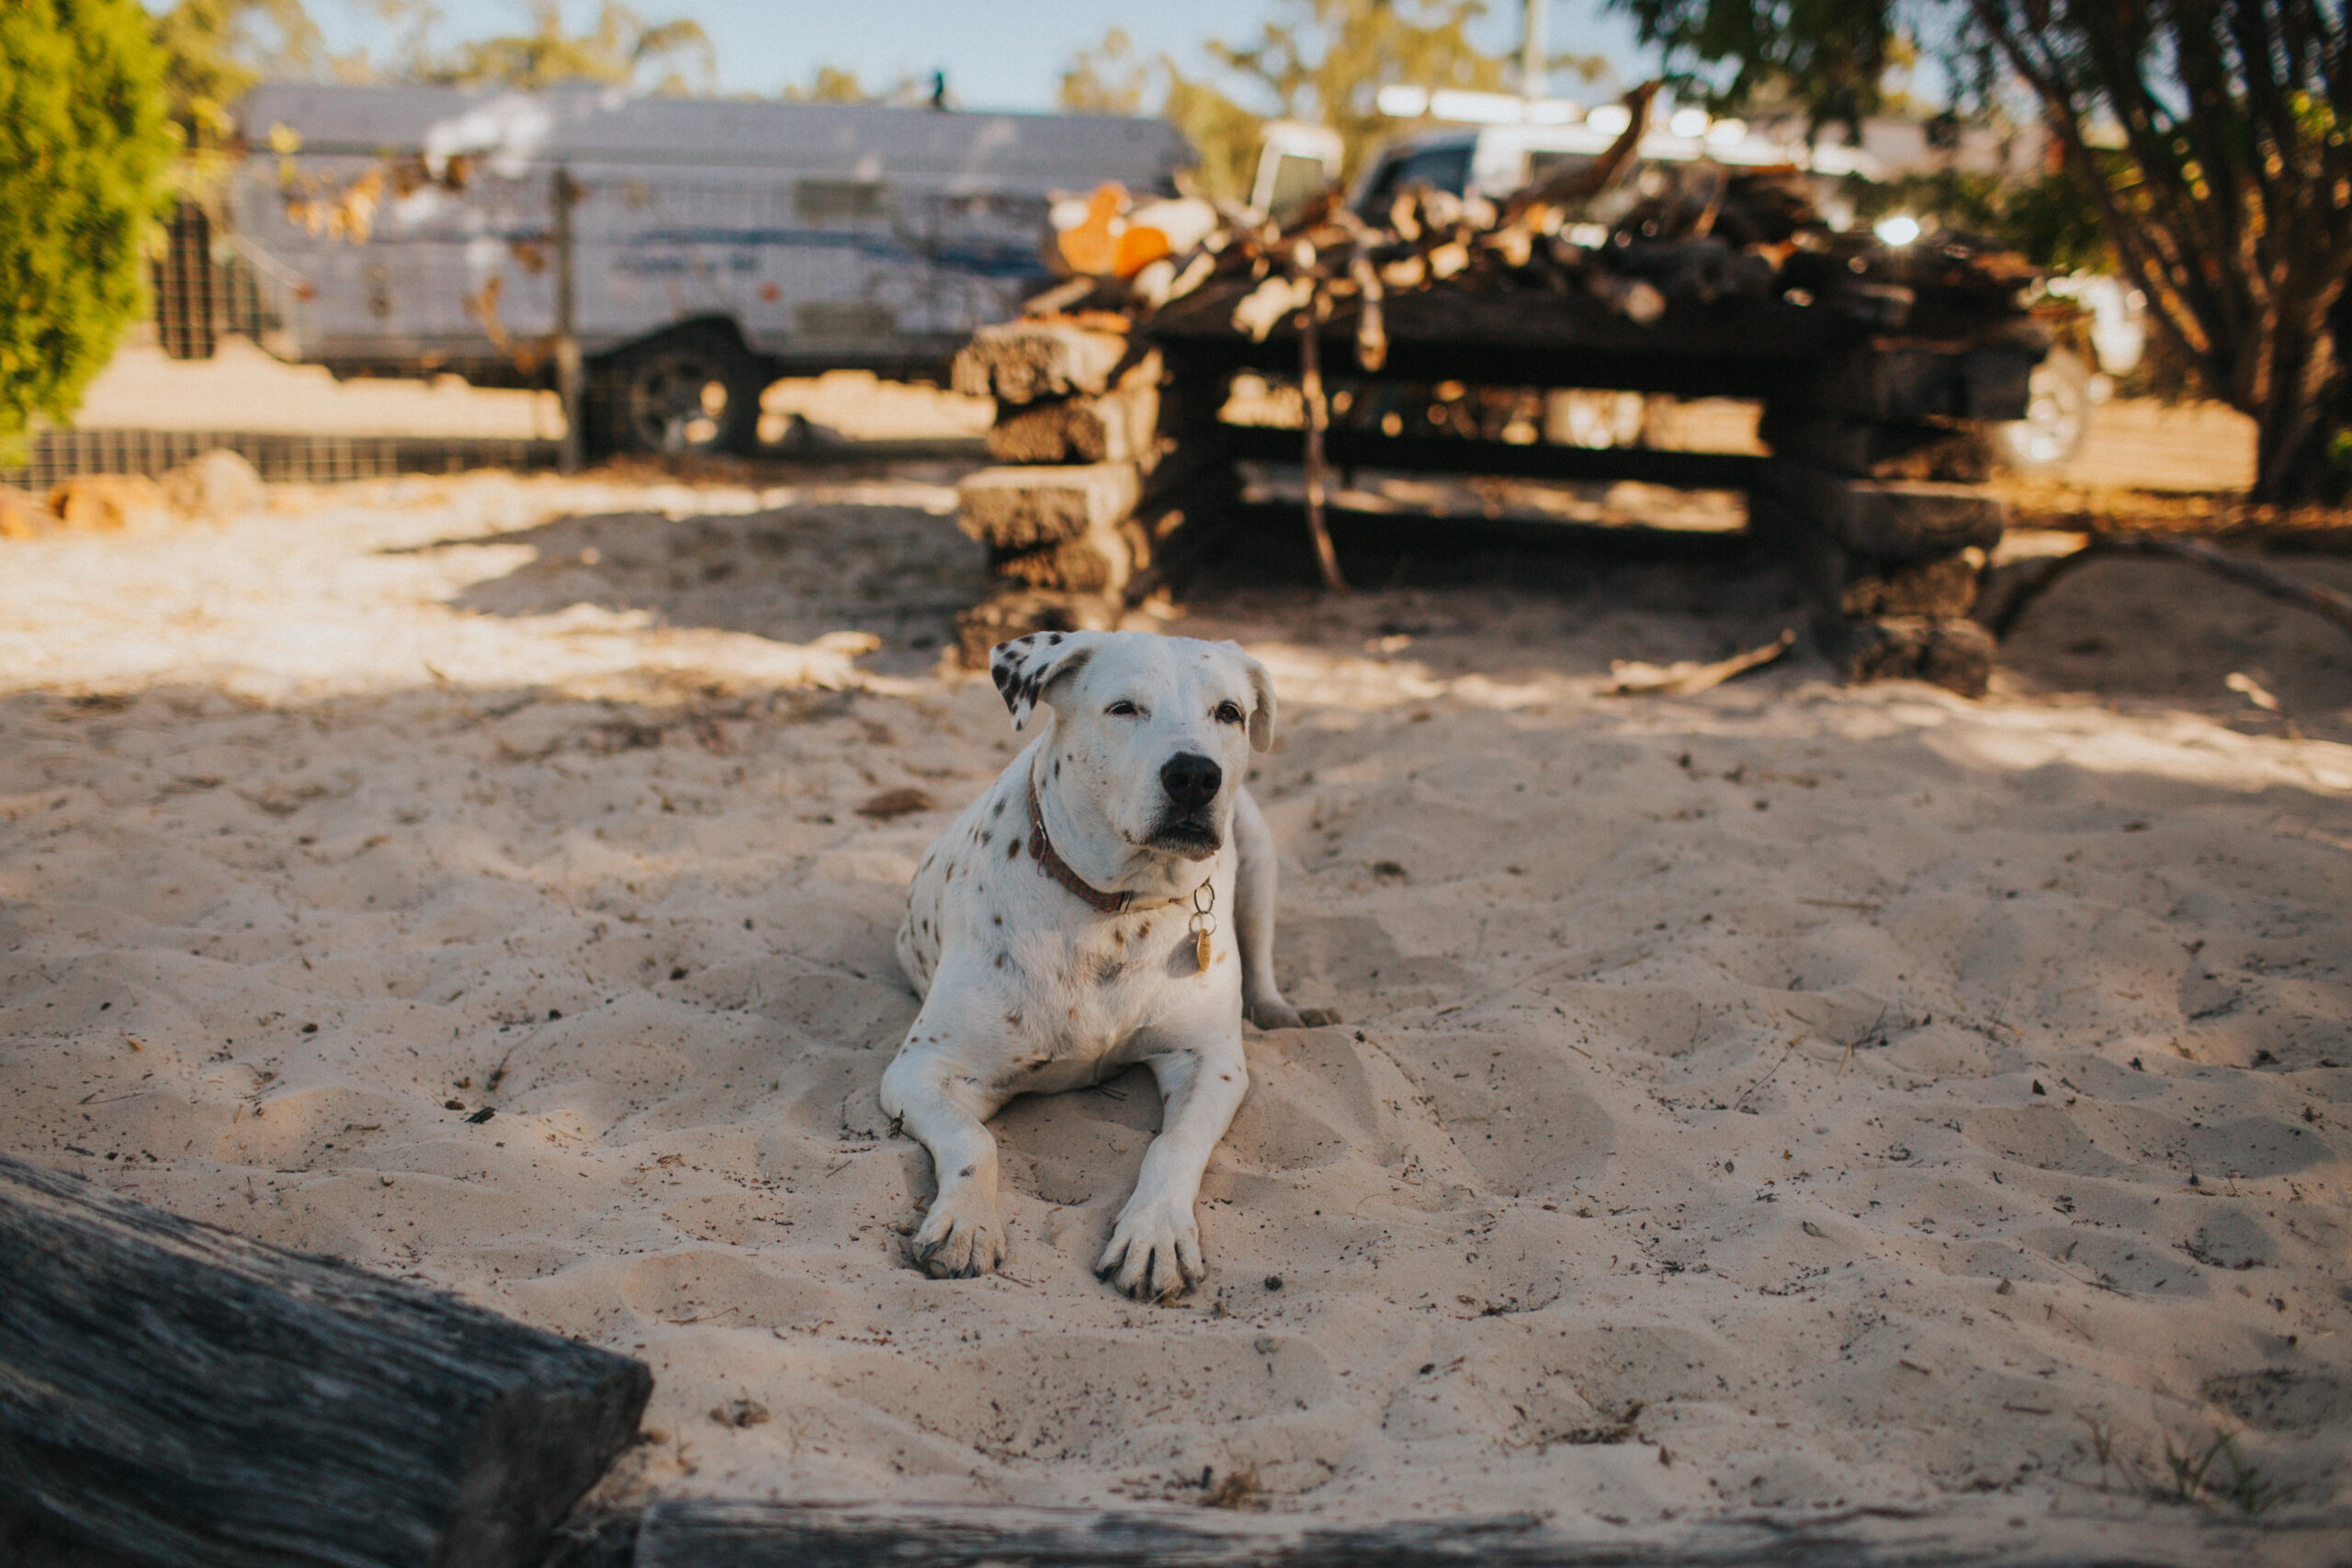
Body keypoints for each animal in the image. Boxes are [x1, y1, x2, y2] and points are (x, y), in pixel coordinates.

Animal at [884, 625, 1336, 1297]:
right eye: (1123, 708)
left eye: (1229, 712)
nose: (1195, 775)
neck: (1117, 909)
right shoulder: (921, 1071)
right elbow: (973, 1140)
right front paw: (966, 1222)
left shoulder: (1210, 1062)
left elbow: (1174, 1145)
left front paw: (1155, 1234)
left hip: (1256, 850)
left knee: (1261, 958)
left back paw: (1281, 1011)